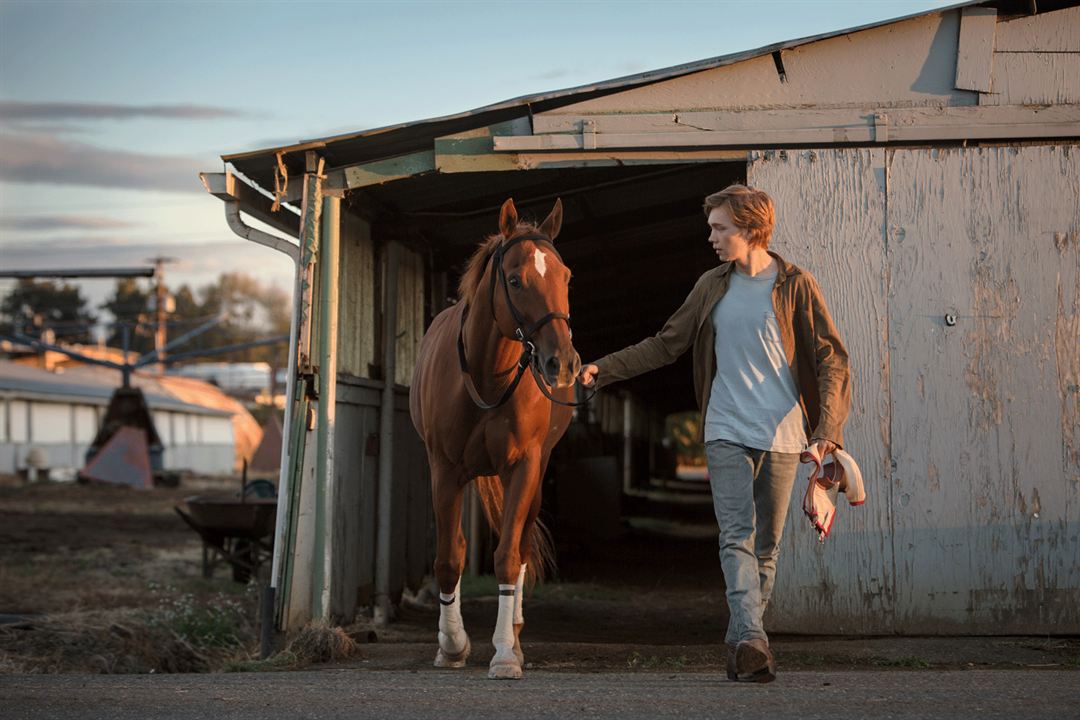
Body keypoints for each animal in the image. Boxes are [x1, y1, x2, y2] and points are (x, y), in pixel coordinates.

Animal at [410, 198, 583, 682]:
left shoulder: (524, 466)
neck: (488, 376)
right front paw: (452, 644)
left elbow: (508, 555)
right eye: (515, 280)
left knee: (521, 546)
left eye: (566, 277)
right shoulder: (444, 471)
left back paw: (517, 635)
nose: (562, 363)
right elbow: (449, 557)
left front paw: (505, 652)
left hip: (534, 475)